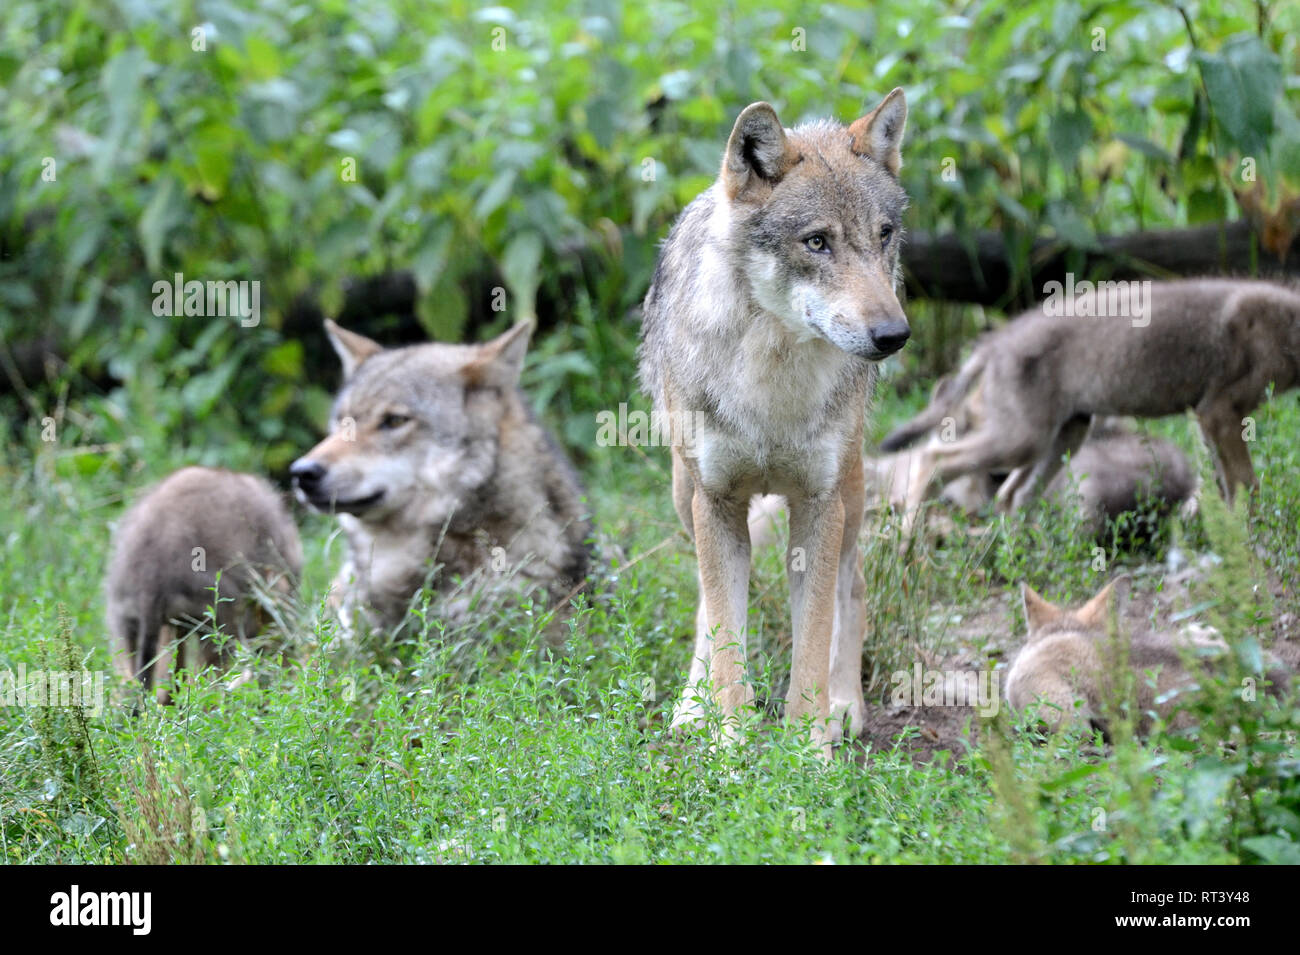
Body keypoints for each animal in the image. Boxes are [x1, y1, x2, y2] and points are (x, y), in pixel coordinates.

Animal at [638, 89, 911, 751]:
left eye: (883, 234)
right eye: (816, 242)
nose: (894, 336)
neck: (772, 381)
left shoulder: (819, 504)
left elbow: (812, 638)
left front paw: (810, 746)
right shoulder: (715, 503)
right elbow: (725, 633)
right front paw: (729, 743)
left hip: (851, 490)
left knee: (852, 588)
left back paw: (845, 705)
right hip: (684, 495)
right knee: (707, 604)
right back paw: (692, 706)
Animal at [880, 279, 1300, 518]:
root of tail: (994, 342)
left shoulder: (1206, 419)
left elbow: (1225, 484)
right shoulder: (1219, 412)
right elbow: (1246, 484)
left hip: (1064, 436)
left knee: (1011, 497)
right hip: (1023, 439)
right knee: (934, 460)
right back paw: (908, 545)